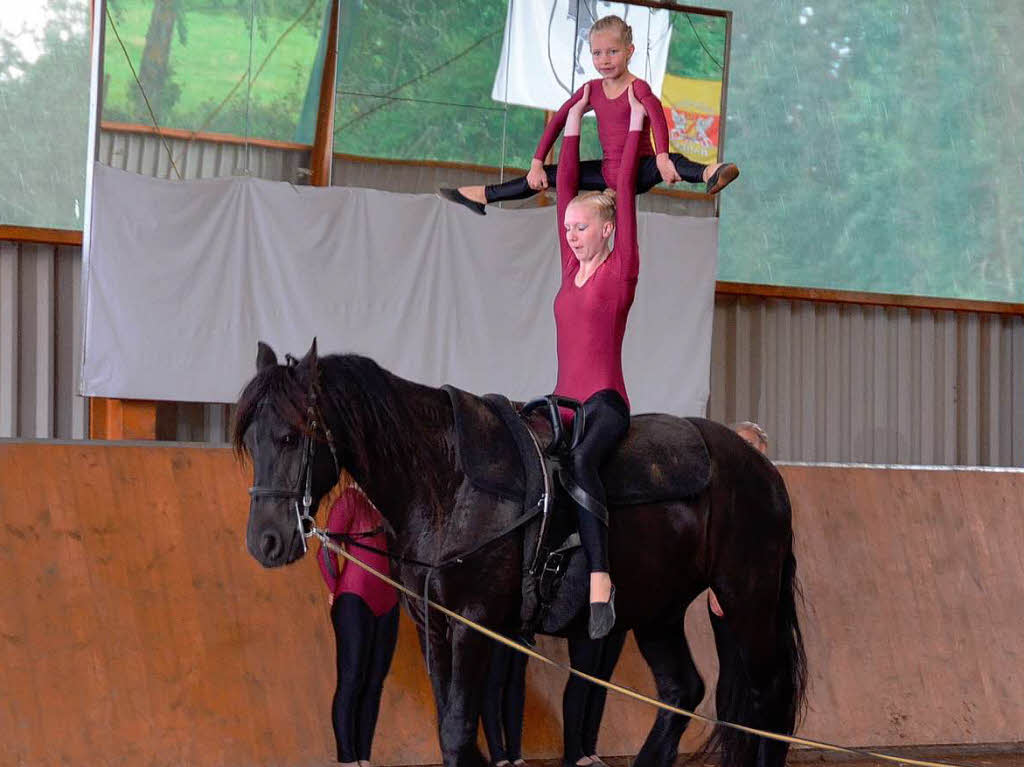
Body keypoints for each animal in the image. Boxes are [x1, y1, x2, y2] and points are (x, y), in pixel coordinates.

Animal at [232, 342, 806, 765]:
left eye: (289, 437)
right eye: (252, 440)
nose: (265, 541)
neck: (448, 482)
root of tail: (762, 470)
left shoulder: (474, 623)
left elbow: (458, 731)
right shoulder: (432, 625)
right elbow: (452, 729)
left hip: (746, 598)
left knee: (767, 700)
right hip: (658, 612)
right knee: (683, 691)